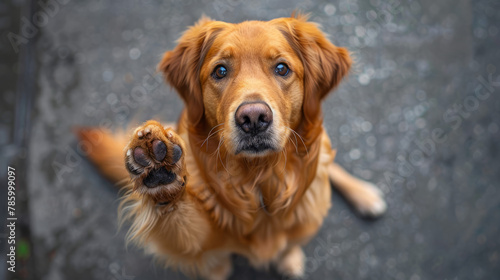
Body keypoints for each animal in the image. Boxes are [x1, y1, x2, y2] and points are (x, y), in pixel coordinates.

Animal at [76, 13, 386, 280]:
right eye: (220, 71)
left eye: (282, 68)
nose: (253, 118)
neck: (258, 180)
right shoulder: (197, 245)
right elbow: (179, 221)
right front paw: (159, 173)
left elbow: (291, 240)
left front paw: (290, 258)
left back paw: (365, 195)